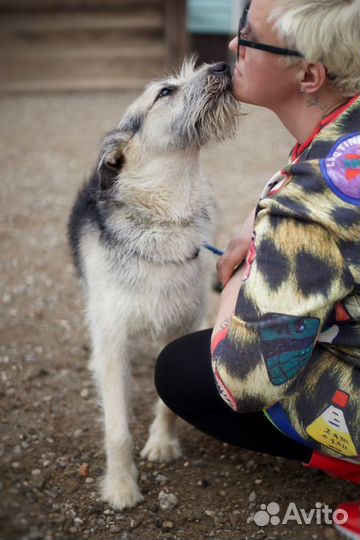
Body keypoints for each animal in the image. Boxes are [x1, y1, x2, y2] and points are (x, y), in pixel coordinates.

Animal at [69, 59, 240, 510]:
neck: (165, 219)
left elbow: (165, 397)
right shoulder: (112, 337)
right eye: (165, 92)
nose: (222, 64)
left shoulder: (181, 322)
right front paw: (121, 486)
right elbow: (116, 429)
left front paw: (162, 443)